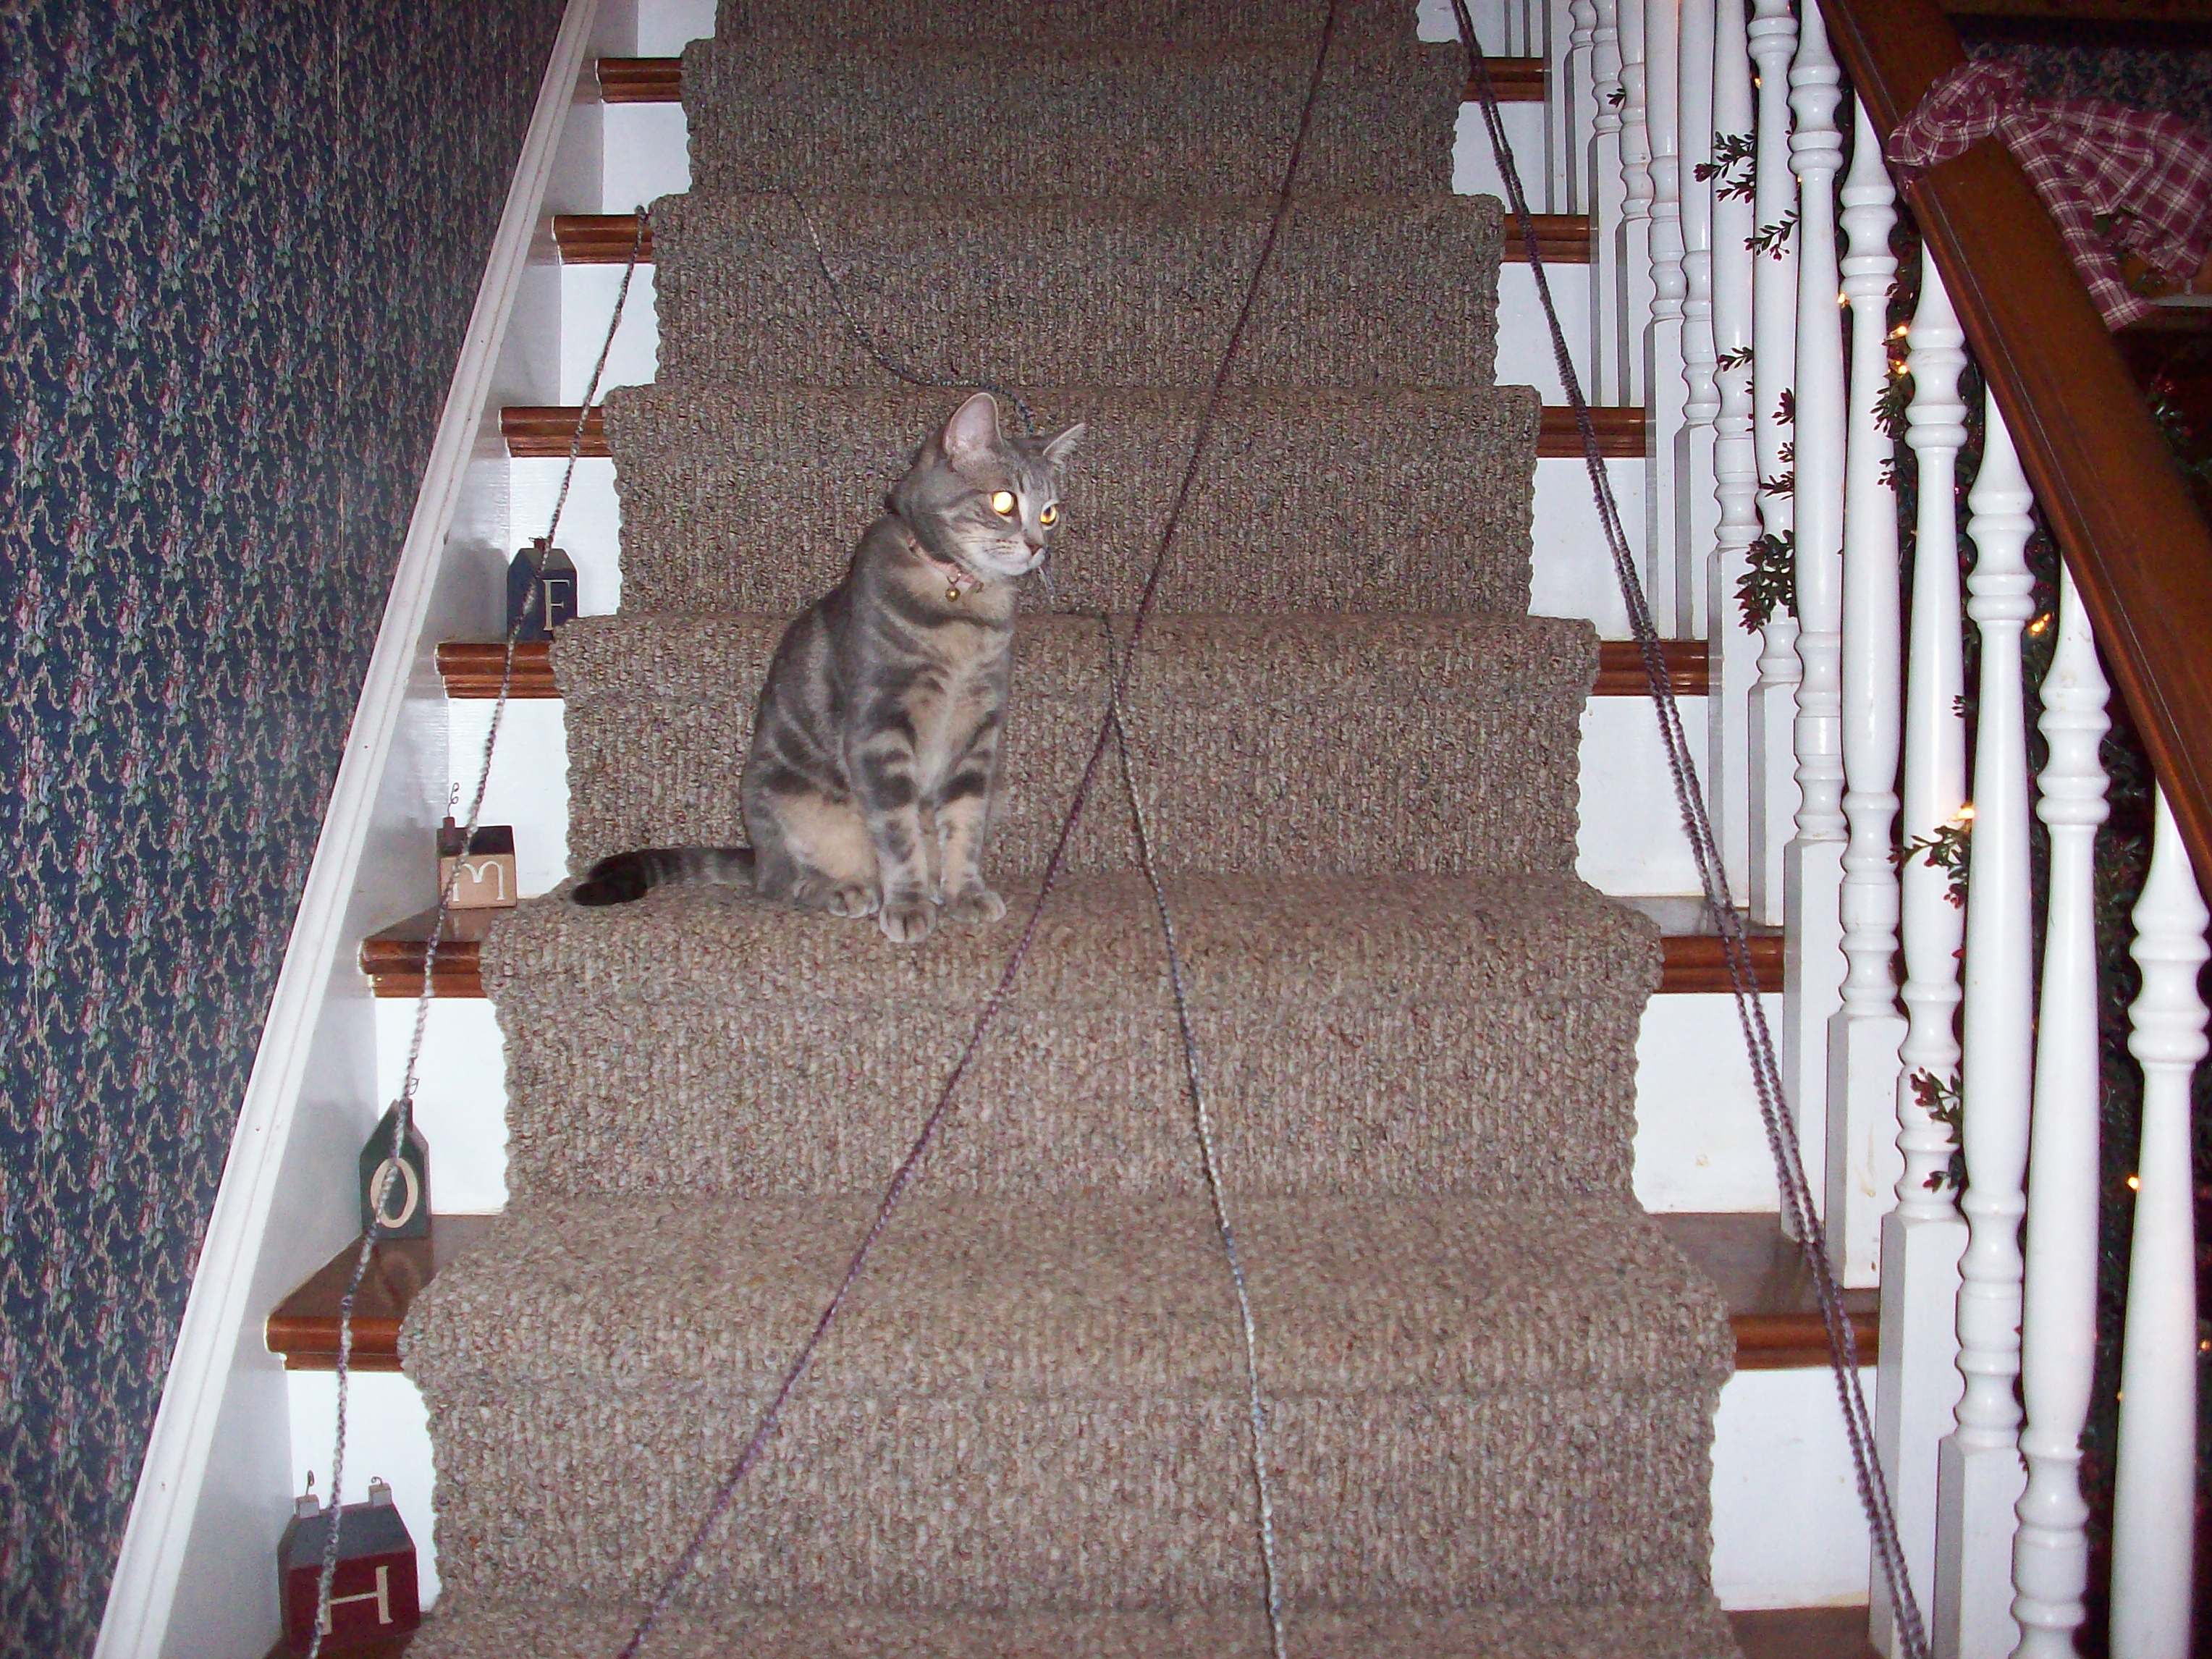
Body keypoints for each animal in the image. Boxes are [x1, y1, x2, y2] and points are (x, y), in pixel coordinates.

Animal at [572, 391, 1084, 945]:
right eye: (1004, 502)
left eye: (1050, 513)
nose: (1037, 546)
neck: (961, 607)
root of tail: (758, 855)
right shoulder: (880, 725)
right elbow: (899, 832)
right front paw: (908, 903)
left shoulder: (980, 732)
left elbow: (964, 826)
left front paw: (965, 892)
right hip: (790, 804)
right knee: (788, 881)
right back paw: (847, 890)